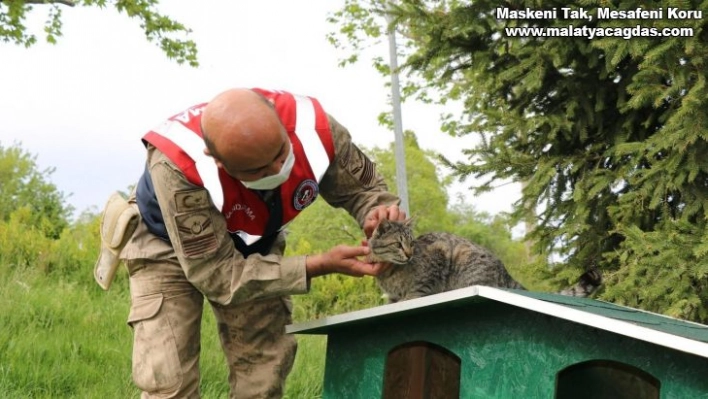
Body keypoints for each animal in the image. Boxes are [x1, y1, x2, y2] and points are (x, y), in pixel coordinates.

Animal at [368, 219, 600, 304]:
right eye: (398, 244)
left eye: (412, 244)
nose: (409, 254)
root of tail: (504, 270)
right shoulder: (392, 296)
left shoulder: (436, 258)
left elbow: (416, 292)